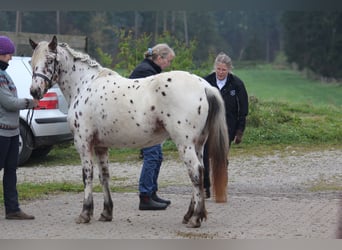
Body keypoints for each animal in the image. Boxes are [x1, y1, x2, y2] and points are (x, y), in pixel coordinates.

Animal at [29, 35, 230, 229]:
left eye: (49, 60)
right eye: (32, 61)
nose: (34, 91)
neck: (85, 84)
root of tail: (205, 86)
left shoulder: (83, 142)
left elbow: (87, 176)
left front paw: (85, 213)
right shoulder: (101, 146)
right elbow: (104, 176)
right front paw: (106, 212)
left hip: (185, 143)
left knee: (195, 172)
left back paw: (195, 219)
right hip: (198, 144)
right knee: (200, 172)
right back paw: (189, 215)